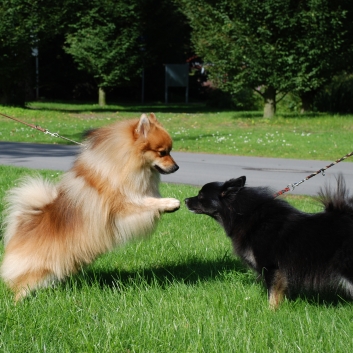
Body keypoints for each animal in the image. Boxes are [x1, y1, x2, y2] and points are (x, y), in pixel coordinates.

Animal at [0, 113, 179, 300]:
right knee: (21, 286)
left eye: (170, 151)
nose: (176, 167)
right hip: (36, 271)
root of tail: (23, 224)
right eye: (162, 152)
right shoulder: (124, 205)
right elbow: (147, 202)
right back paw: (20, 301)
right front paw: (170, 203)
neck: (123, 164)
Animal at [184, 175, 352, 306]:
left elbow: (272, 294)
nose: (185, 199)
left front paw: (270, 312)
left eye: (200, 196)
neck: (245, 215)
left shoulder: (271, 267)